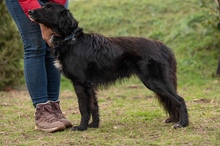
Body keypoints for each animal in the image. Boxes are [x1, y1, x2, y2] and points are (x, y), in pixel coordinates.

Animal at [27, 2, 189, 131]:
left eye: (48, 8)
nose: (29, 12)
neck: (72, 41)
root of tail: (162, 45)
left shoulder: (80, 83)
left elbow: (83, 108)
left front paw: (81, 127)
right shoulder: (89, 85)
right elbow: (93, 106)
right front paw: (94, 125)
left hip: (154, 81)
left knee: (180, 99)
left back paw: (182, 124)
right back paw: (176, 120)